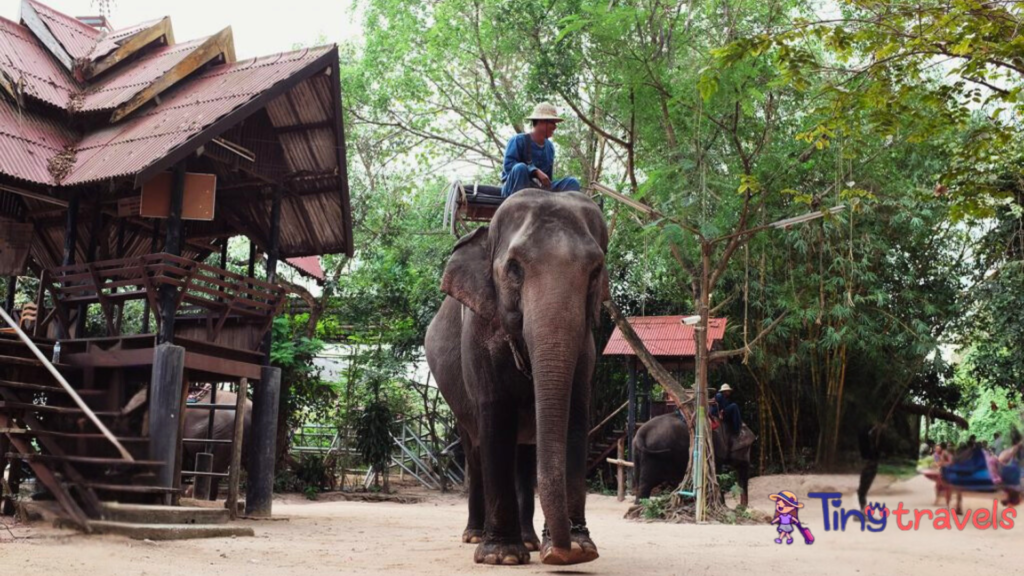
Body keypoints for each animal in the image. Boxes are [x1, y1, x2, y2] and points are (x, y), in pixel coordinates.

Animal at [423, 189, 606, 565]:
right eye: (514, 268)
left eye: (596, 271)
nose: (561, 551)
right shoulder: (479, 335)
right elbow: (496, 417)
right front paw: (501, 556)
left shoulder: (586, 347)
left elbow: (575, 418)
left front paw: (580, 549)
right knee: (475, 449)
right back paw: (475, 535)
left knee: (523, 455)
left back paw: (531, 542)